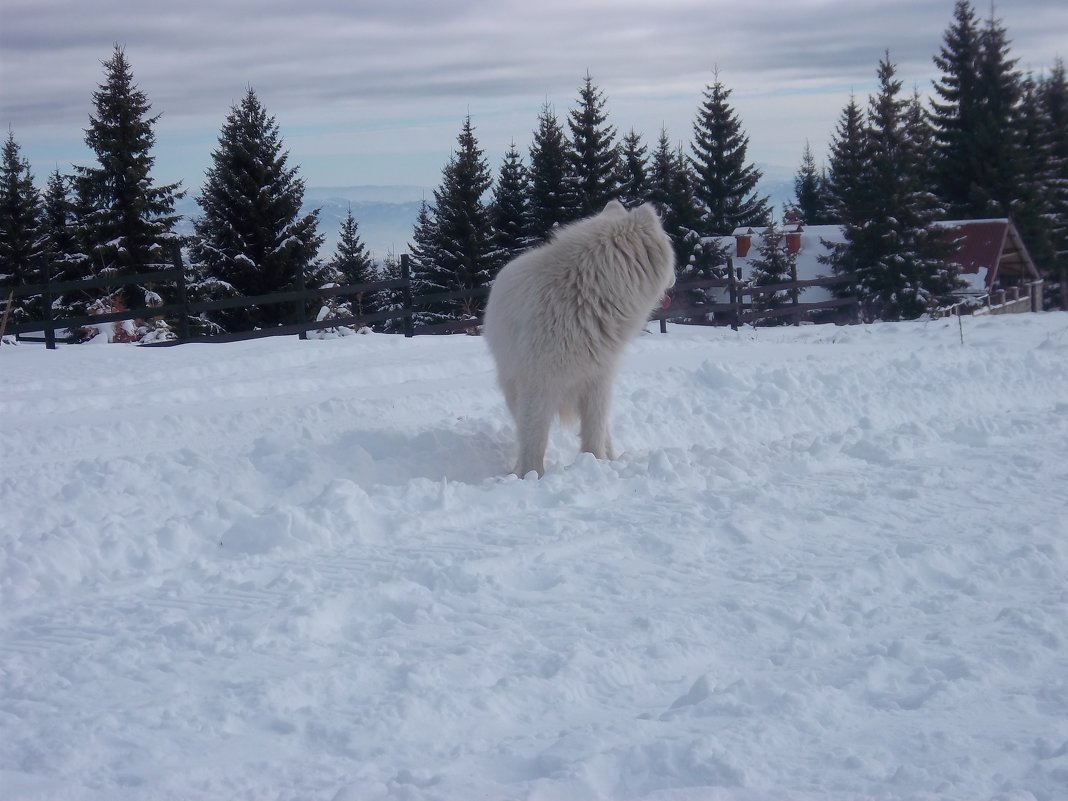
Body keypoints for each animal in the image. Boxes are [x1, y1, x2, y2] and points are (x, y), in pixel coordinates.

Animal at [487, 201, 674, 476]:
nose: (674, 278)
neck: (585, 293)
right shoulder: (538, 386)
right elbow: (534, 440)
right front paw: (531, 475)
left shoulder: (597, 381)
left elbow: (594, 432)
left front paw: (596, 463)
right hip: (513, 389)